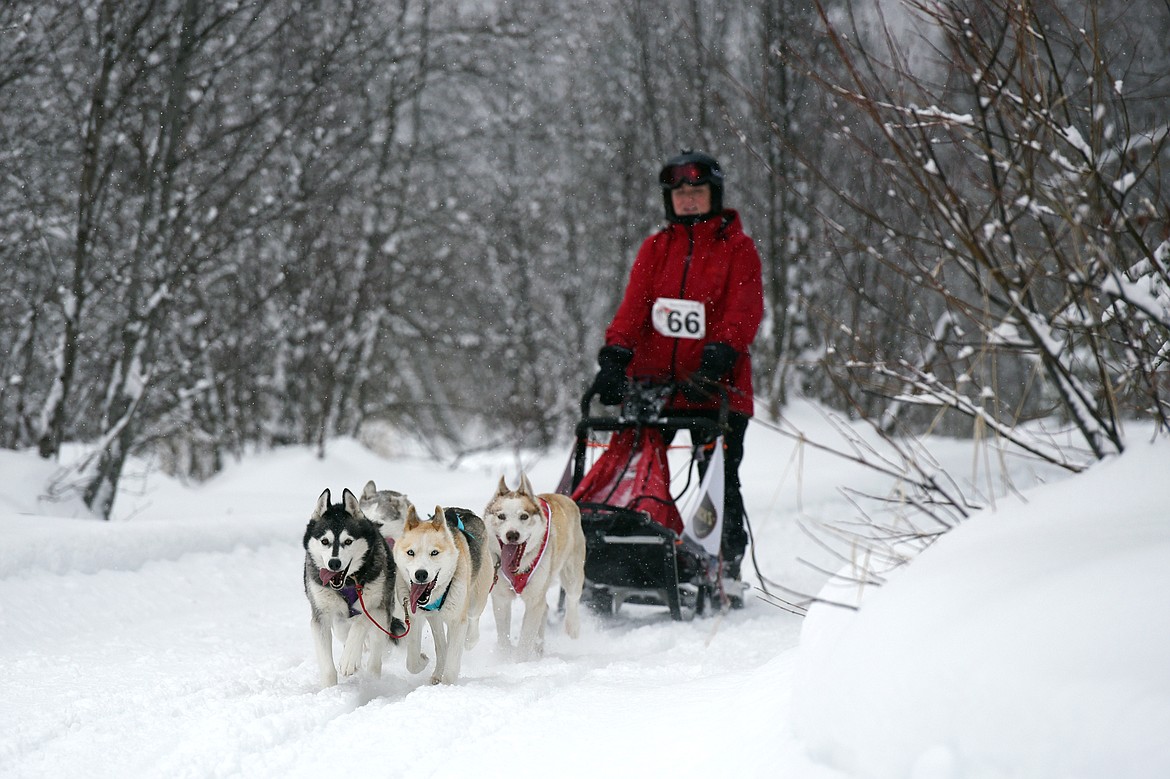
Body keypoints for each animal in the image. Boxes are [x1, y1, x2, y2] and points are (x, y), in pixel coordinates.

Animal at [393, 502, 493, 678]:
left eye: (434, 552)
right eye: (411, 552)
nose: (421, 574)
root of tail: (464, 511)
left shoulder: (457, 620)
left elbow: (451, 668)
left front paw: (447, 682)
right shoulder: (414, 616)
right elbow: (412, 662)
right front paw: (423, 660)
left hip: (476, 599)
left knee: (473, 620)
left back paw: (470, 640)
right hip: (436, 618)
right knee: (442, 645)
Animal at [482, 472, 585, 655]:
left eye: (524, 516)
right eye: (501, 516)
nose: (512, 534)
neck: (518, 568)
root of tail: (565, 497)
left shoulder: (534, 601)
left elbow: (525, 641)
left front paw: (520, 660)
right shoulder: (501, 599)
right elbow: (503, 638)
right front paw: (504, 657)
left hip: (572, 576)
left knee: (572, 602)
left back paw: (572, 633)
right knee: (545, 610)